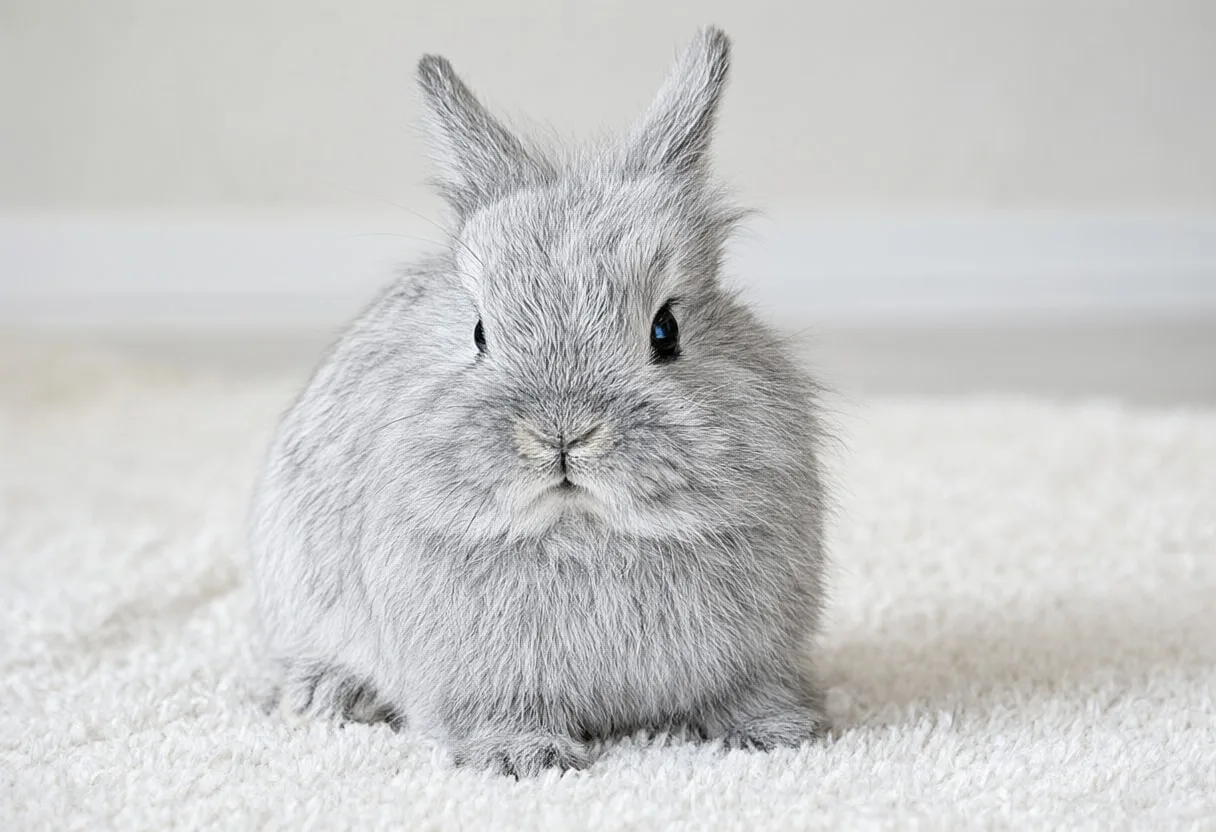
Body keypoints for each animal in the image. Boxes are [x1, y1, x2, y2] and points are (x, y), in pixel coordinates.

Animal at [248, 26, 829, 777]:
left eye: (666, 331)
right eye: (478, 332)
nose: (561, 434)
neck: (584, 534)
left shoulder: (754, 656)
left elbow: (744, 694)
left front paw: (773, 734)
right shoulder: (478, 675)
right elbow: (498, 712)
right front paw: (525, 758)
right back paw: (326, 695)